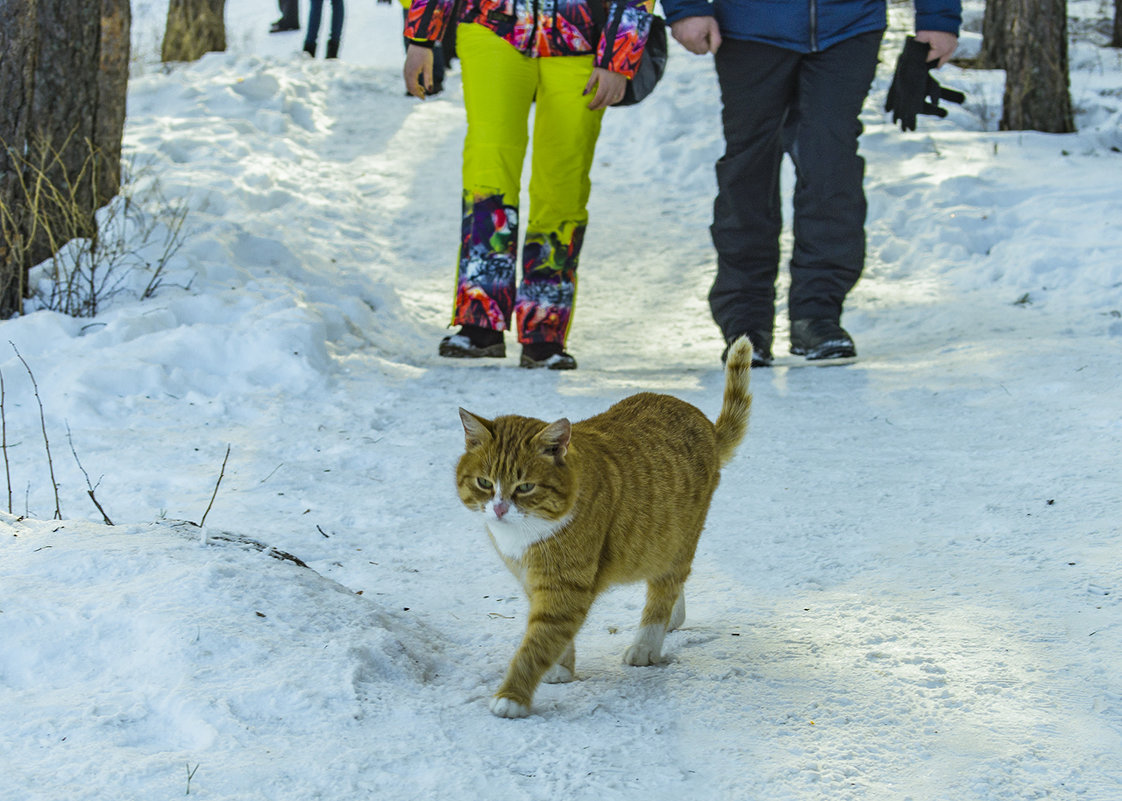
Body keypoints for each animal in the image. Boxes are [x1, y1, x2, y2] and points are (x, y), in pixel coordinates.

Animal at [455, 334, 753, 713]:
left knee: (665, 586)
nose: (498, 509)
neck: (524, 534)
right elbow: (554, 637)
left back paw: (646, 645)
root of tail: (700, 418)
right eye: (484, 483)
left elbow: (538, 642)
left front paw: (513, 695)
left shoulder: (565, 586)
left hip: (679, 534)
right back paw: (673, 619)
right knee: (672, 579)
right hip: (660, 542)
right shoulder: (532, 580)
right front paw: (560, 668)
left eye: (525, 487)